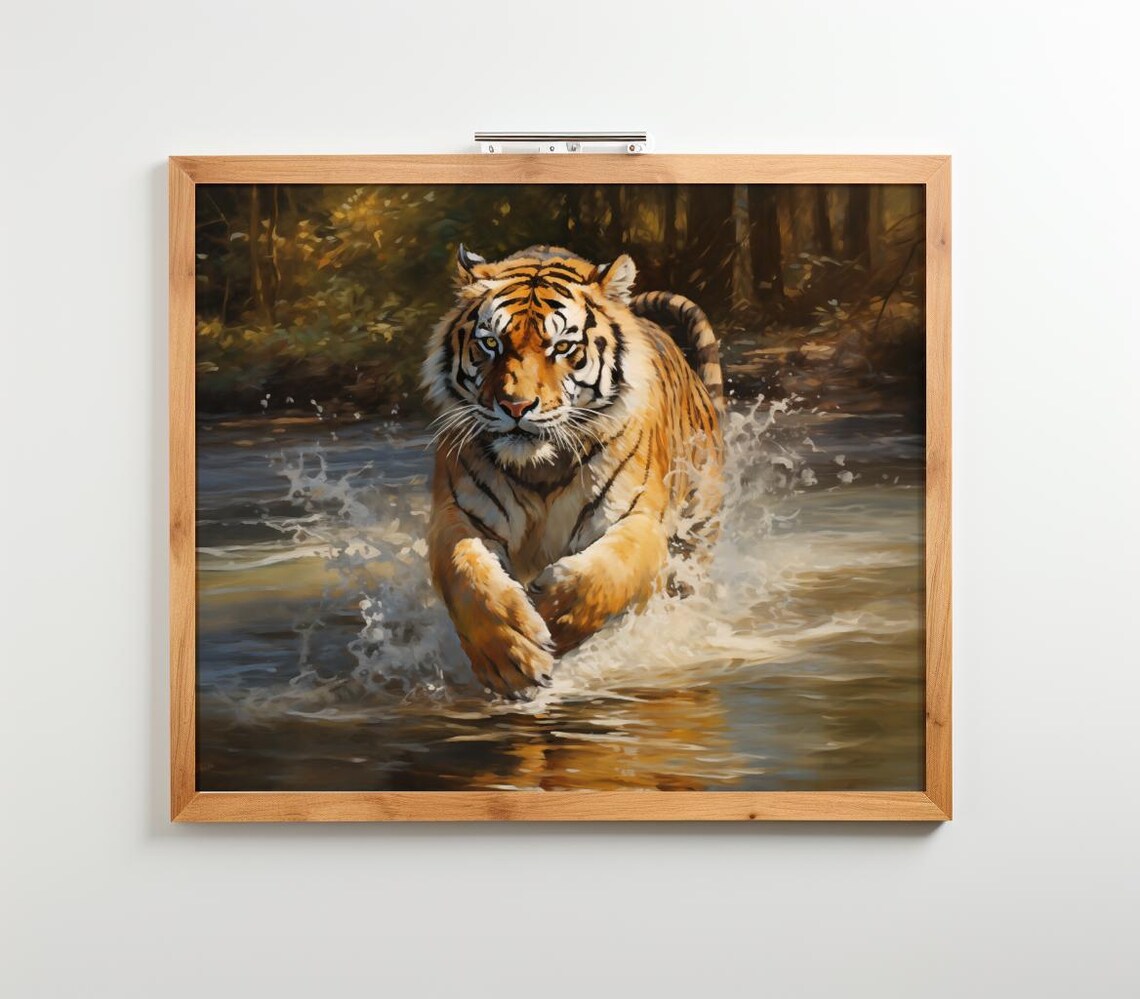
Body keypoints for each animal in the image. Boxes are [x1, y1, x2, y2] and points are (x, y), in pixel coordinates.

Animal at [421, 244, 724, 698]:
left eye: (562, 347)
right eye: (491, 343)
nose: (514, 406)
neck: (541, 468)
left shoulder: (638, 517)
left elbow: (605, 574)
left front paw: (552, 617)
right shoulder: (459, 515)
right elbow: (469, 576)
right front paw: (511, 654)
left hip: (697, 527)